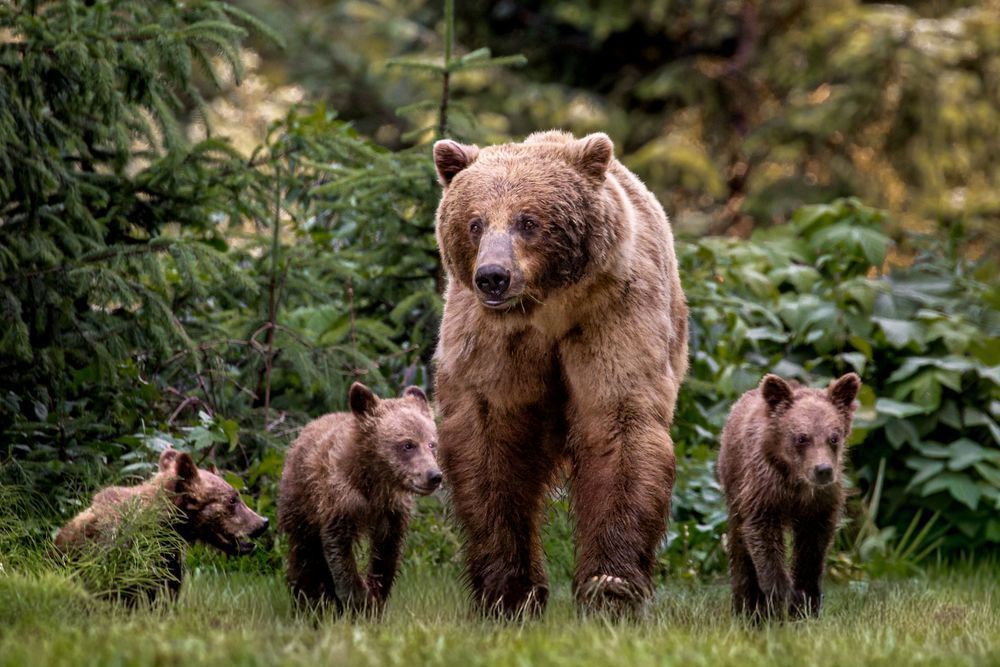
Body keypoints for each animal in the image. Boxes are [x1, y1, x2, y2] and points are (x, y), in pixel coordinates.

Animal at [277, 382, 441, 615]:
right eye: (408, 444)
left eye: (432, 444)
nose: (434, 476)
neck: (375, 482)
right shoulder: (339, 501)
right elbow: (338, 549)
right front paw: (360, 599)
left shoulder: (393, 512)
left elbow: (387, 554)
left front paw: (375, 598)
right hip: (300, 501)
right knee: (305, 554)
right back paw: (307, 602)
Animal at [431, 130, 689, 618]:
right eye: (475, 223)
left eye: (528, 221)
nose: (493, 276)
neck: (546, 308)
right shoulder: (494, 342)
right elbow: (492, 445)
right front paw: (510, 589)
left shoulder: (611, 318)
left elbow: (617, 427)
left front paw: (610, 585)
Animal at [717, 372, 862, 619]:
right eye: (802, 437)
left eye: (834, 437)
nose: (823, 470)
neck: (798, 483)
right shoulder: (764, 491)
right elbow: (763, 540)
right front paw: (782, 598)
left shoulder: (820, 504)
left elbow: (812, 551)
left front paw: (805, 603)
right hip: (734, 483)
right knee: (739, 548)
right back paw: (746, 608)